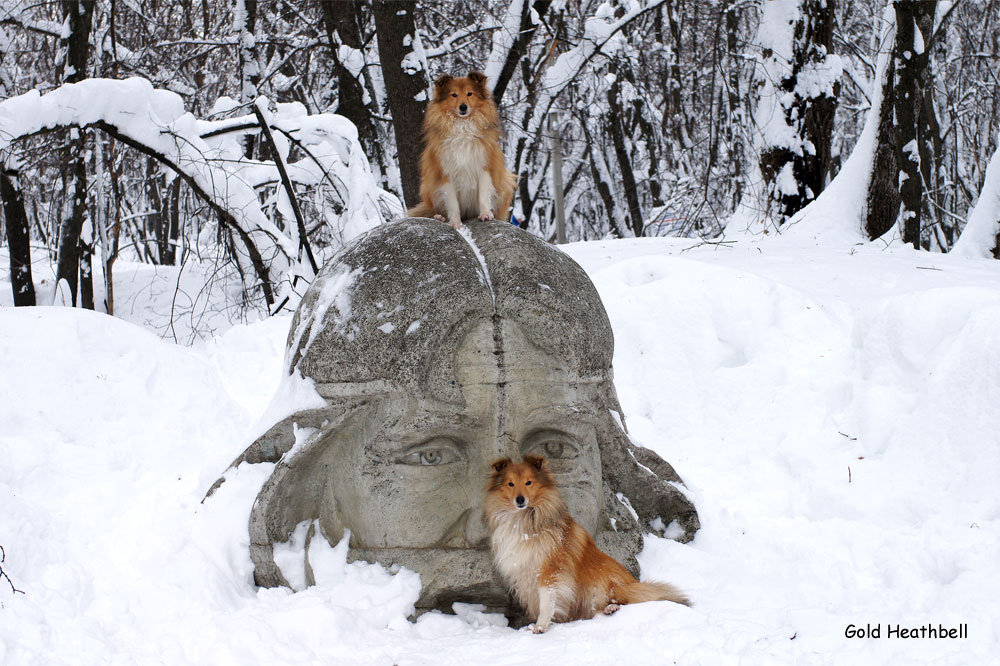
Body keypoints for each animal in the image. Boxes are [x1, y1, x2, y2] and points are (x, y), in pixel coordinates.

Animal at [406, 68, 516, 227]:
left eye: (470, 93)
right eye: (454, 95)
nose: (463, 107)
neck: (462, 127)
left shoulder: (484, 167)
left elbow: (483, 195)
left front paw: (485, 214)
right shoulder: (446, 173)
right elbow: (453, 203)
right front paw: (456, 224)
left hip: (506, 183)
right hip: (428, 185)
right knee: (434, 210)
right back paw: (439, 217)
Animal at [484, 454, 688, 632]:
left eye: (529, 482)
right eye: (510, 484)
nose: (520, 500)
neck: (524, 521)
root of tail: (633, 583)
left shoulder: (550, 571)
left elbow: (547, 601)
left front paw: (540, 626)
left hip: (603, 582)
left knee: (620, 600)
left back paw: (611, 608)